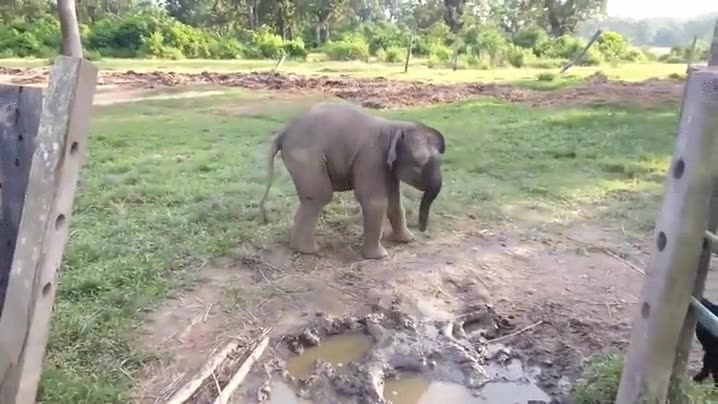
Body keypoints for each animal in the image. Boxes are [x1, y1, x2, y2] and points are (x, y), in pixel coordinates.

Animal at [258, 102, 446, 260]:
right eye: (419, 163)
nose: (422, 230)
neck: (394, 127)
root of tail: (284, 132)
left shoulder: (386, 166)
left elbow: (394, 200)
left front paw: (407, 240)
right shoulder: (370, 158)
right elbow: (375, 201)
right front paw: (379, 256)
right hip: (306, 159)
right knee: (319, 196)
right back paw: (309, 250)